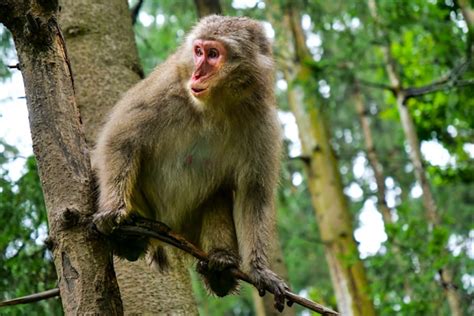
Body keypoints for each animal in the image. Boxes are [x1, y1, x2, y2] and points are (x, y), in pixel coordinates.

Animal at [90, 14, 286, 312]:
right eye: (198, 51)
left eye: (213, 54)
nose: (197, 74)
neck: (215, 106)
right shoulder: (166, 86)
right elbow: (121, 139)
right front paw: (114, 211)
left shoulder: (262, 122)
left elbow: (253, 194)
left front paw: (258, 270)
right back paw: (129, 240)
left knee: (218, 194)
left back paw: (220, 266)